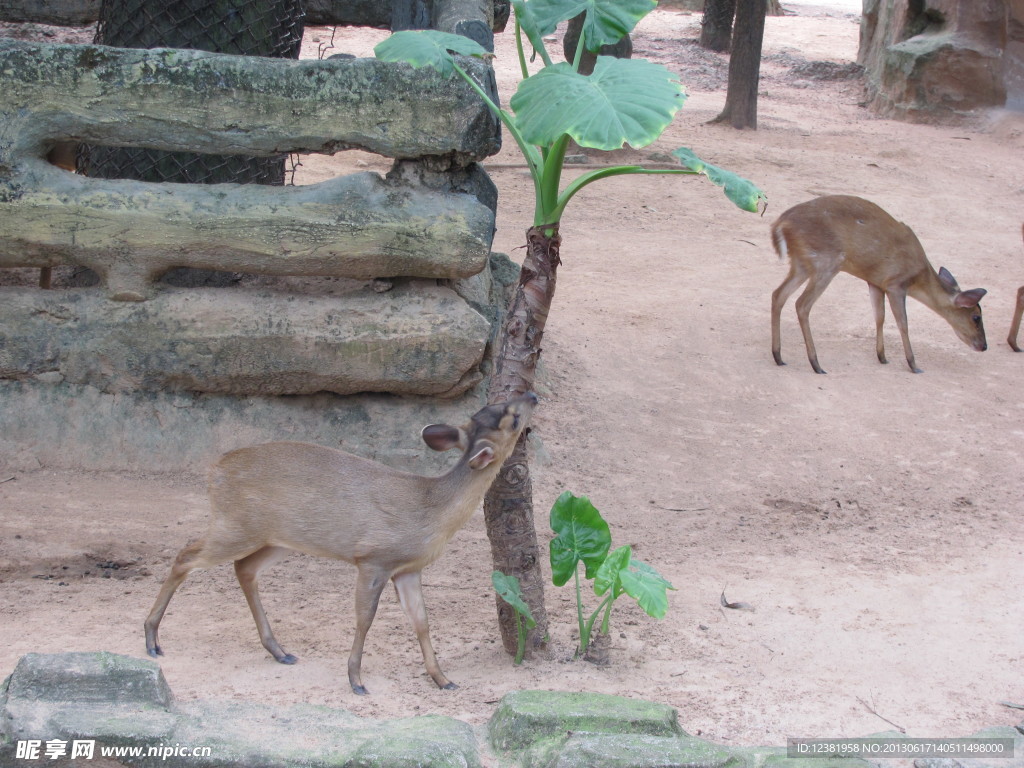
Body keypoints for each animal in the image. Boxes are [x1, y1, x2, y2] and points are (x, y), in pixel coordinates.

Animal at [149, 393, 544, 696]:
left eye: (494, 406)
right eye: (511, 419)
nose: (532, 395)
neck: (430, 510)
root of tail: (215, 468)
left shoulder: (408, 569)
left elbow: (421, 622)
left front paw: (443, 679)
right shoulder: (373, 558)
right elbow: (364, 618)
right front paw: (356, 680)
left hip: (278, 538)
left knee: (242, 568)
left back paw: (280, 651)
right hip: (235, 525)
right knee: (185, 554)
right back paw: (152, 640)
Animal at [770, 192, 983, 372]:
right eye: (976, 317)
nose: (984, 346)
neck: (919, 277)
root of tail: (780, 224)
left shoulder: (876, 282)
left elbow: (879, 316)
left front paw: (882, 356)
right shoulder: (896, 283)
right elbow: (903, 323)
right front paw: (913, 364)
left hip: (802, 264)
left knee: (778, 294)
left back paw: (778, 356)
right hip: (826, 262)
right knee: (802, 304)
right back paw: (815, 363)